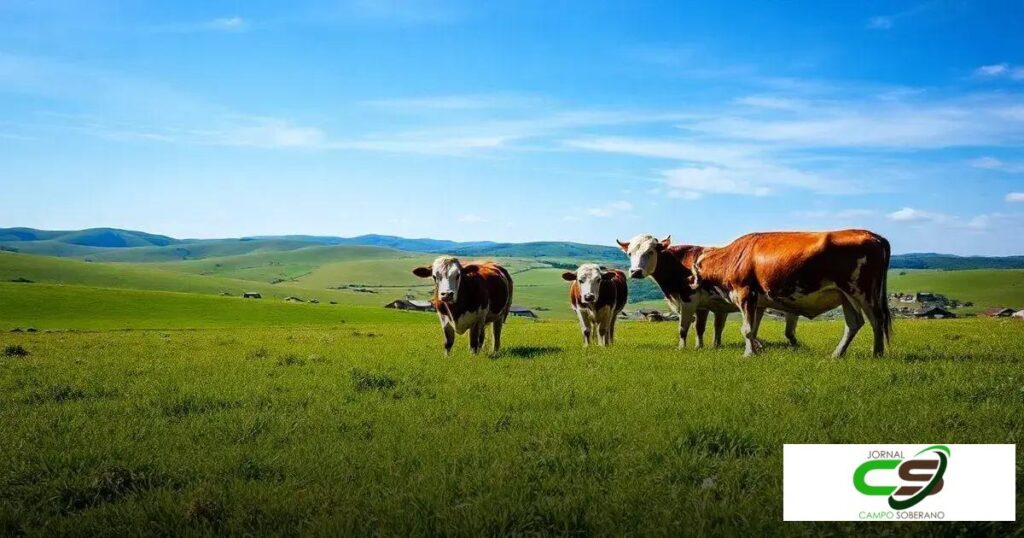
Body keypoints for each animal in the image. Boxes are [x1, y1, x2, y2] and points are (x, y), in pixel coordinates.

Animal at [617, 236, 802, 349]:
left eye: (650, 251)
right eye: (629, 253)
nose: (635, 272)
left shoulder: (688, 301)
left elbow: (683, 328)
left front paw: (682, 348)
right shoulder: (703, 306)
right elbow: (700, 328)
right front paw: (700, 347)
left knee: (790, 325)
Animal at [687, 230, 892, 357]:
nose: (689, 280)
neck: (732, 257)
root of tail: (872, 235)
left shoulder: (745, 293)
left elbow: (746, 329)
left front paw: (748, 354)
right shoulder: (757, 302)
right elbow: (753, 329)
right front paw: (757, 349)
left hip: (863, 292)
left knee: (877, 320)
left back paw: (877, 353)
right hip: (845, 295)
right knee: (854, 323)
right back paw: (837, 354)